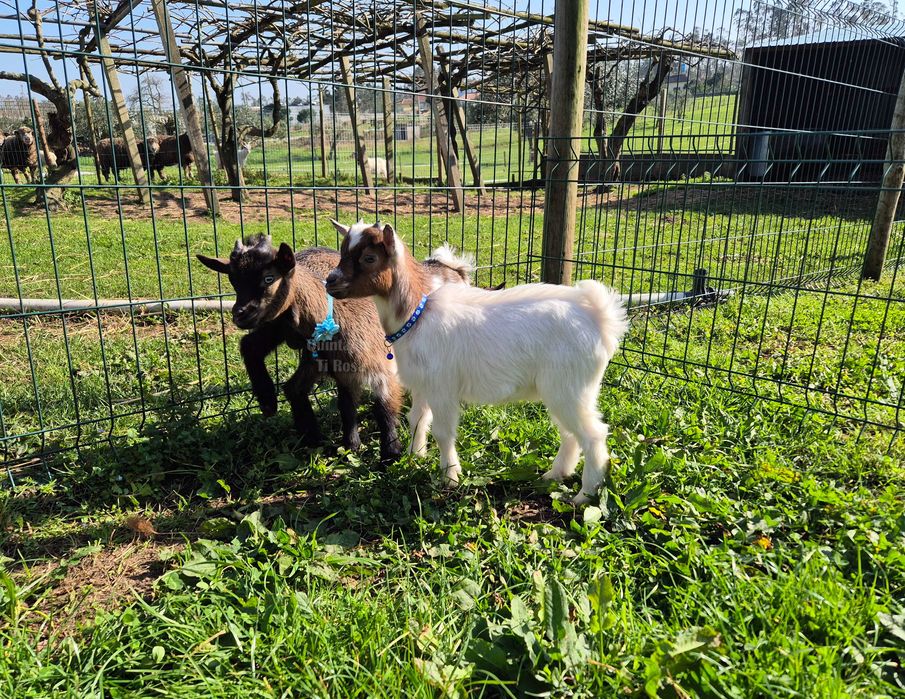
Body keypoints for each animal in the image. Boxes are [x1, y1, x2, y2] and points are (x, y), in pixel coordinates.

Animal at [325, 221, 628, 504]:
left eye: (369, 258)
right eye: (343, 251)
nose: (330, 281)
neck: (416, 315)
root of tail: (600, 319)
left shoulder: (442, 388)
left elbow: (443, 432)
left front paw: (449, 477)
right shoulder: (422, 386)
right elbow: (417, 420)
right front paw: (415, 457)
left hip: (570, 387)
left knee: (593, 434)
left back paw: (585, 495)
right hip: (563, 391)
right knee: (570, 433)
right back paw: (554, 474)